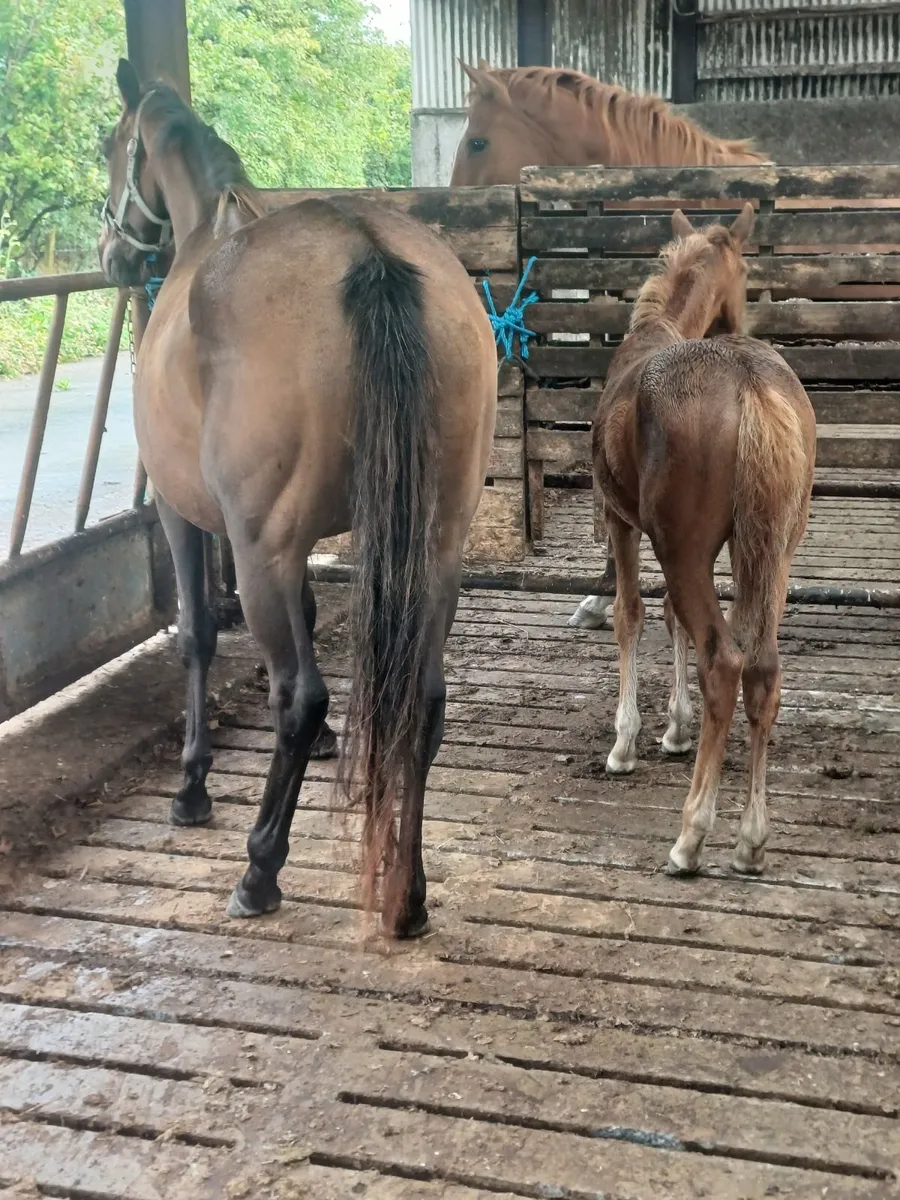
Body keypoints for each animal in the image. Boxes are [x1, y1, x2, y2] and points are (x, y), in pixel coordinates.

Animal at [98, 59, 498, 938]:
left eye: (112, 147)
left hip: (259, 551)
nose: (110, 251)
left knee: (299, 697)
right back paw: (407, 896)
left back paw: (259, 869)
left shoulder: (189, 518)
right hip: (435, 546)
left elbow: (197, 638)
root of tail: (368, 253)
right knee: (422, 702)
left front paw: (192, 786)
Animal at [594, 204, 815, 877]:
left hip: (682, 549)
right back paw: (749, 841)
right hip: (774, 554)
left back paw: (692, 836)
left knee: (725, 661)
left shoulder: (620, 520)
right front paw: (676, 729)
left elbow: (632, 615)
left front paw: (627, 740)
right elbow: (672, 619)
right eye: (747, 273)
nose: (743, 318)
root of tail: (750, 380)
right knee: (762, 668)